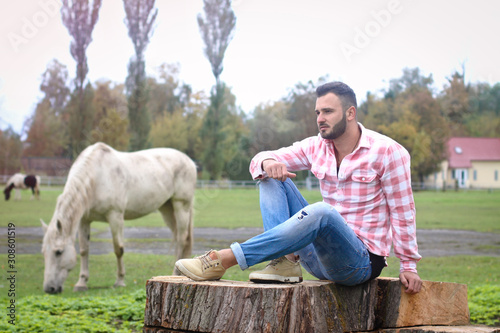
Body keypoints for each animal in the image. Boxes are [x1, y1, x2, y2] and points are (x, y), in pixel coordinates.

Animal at [41, 141, 197, 292]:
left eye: (58, 252)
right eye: (44, 253)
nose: (50, 289)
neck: (97, 176)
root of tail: (190, 161)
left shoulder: (115, 216)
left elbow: (118, 249)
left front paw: (120, 281)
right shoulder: (84, 220)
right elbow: (84, 250)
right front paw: (81, 283)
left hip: (181, 206)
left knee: (182, 238)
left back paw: (175, 273)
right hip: (167, 208)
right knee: (177, 236)